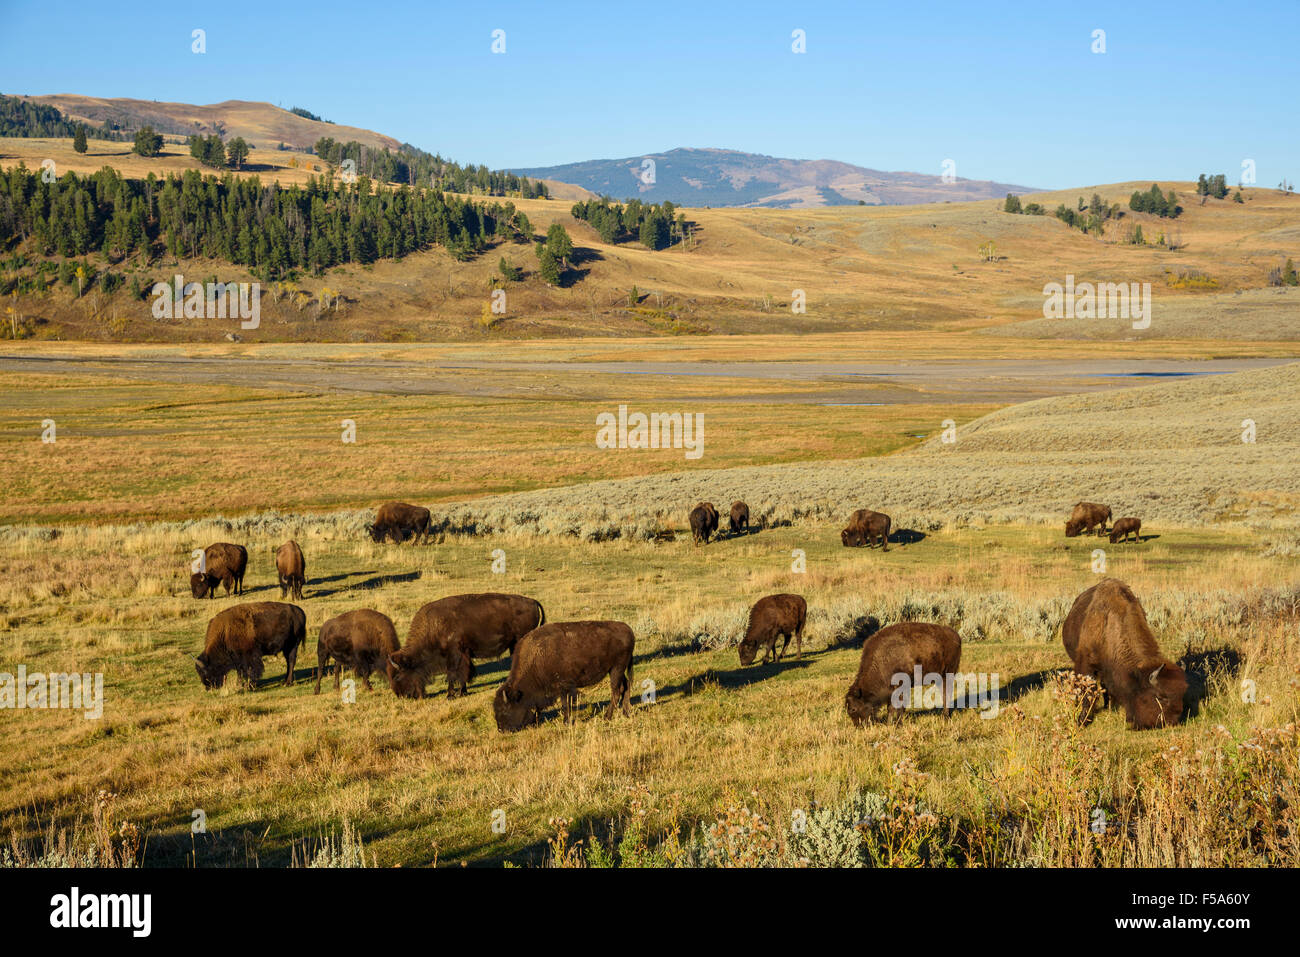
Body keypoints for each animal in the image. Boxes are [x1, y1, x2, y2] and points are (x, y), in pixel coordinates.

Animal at [387, 593, 545, 699]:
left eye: (397, 676)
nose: (401, 695)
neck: (434, 626)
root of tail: (532, 601)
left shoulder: (455, 654)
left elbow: (453, 674)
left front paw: (450, 695)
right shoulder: (462, 655)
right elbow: (463, 673)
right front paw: (462, 692)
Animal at [493, 620, 635, 731]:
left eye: (505, 709)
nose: (501, 729)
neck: (537, 656)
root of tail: (628, 629)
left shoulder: (563, 686)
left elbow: (565, 704)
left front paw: (566, 722)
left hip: (616, 669)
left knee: (616, 691)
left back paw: (607, 717)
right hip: (617, 670)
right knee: (626, 686)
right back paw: (626, 713)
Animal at [1062, 578, 1187, 730]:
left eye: (1181, 695)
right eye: (1160, 697)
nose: (1171, 722)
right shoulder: (1086, 665)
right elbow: (1089, 692)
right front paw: (1082, 721)